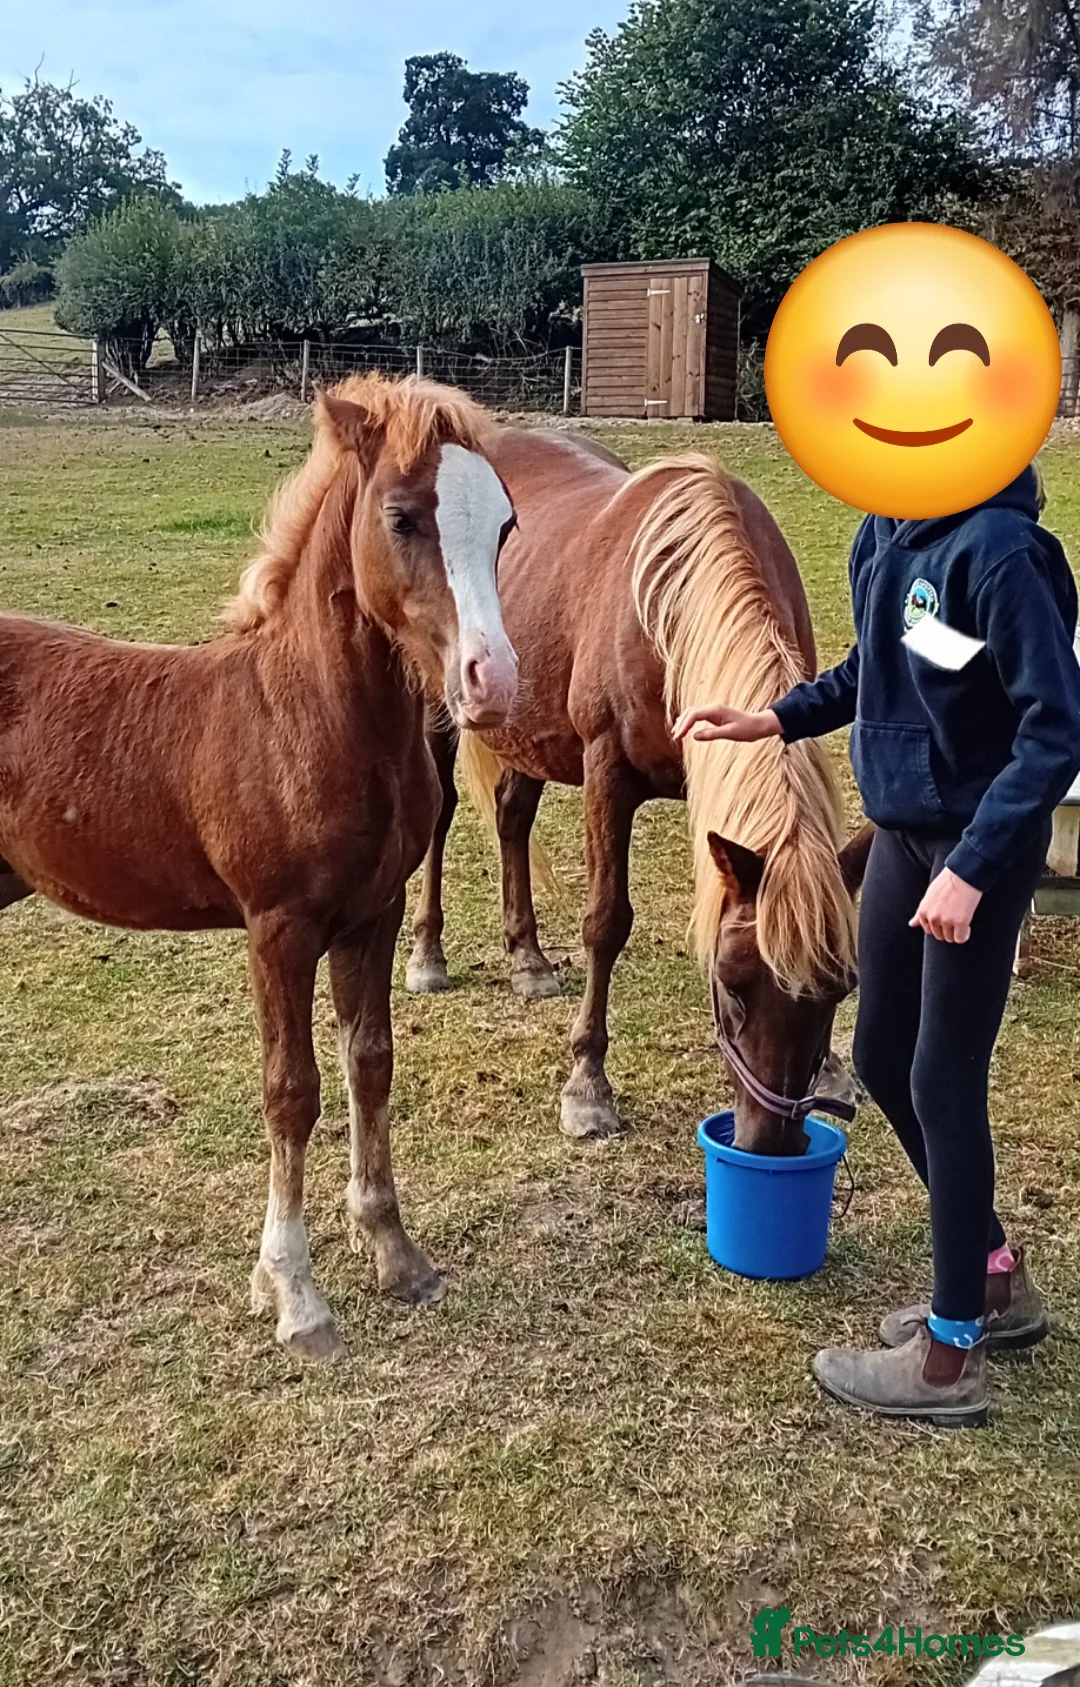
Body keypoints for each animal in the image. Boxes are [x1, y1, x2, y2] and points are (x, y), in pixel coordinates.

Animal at [0, 374, 518, 1360]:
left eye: (505, 524)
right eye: (402, 516)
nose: (494, 681)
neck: (304, 718)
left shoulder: (373, 914)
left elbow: (370, 1064)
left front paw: (395, 1252)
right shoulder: (278, 929)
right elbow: (291, 1092)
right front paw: (295, 1294)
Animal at [406, 430, 871, 1155]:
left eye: (840, 990)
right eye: (731, 983)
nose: (769, 1145)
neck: (670, 616)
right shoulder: (608, 772)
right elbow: (606, 922)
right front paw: (587, 1087)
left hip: (526, 725)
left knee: (512, 816)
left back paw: (528, 959)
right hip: (441, 707)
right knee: (442, 817)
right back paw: (428, 954)